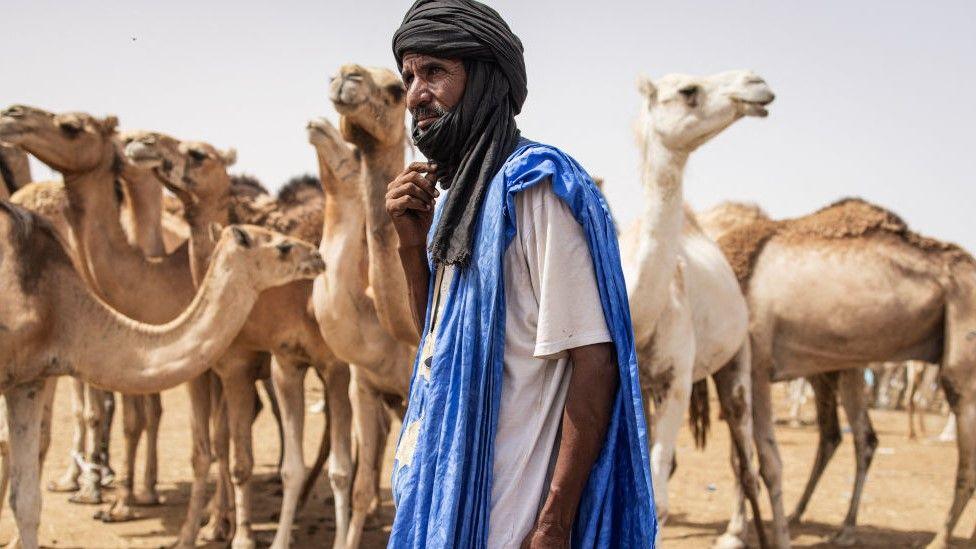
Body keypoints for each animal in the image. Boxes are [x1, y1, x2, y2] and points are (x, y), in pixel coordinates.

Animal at [0, 196, 328, 548]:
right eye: (282, 246)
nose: (317, 255)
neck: (57, 308)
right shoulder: (20, 376)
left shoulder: (29, 379)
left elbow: (27, 501)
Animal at [122, 133, 350, 548]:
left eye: (197, 154)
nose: (140, 142)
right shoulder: (224, 368)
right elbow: (219, 446)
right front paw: (207, 527)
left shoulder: (259, 365)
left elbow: (235, 453)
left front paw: (236, 532)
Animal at [620, 70, 780, 544]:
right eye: (688, 91)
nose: (756, 83)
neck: (640, 312)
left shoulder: (676, 380)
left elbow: (658, 499)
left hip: (737, 360)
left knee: (744, 457)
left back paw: (741, 532)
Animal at [716, 198, 976, 548]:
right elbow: (739, 458)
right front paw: (735, 531)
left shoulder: (757, 361)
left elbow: (765, 462)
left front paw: (768, 536)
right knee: (861, 437)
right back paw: (843, 528)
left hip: (962, 348)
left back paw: (938, 539)